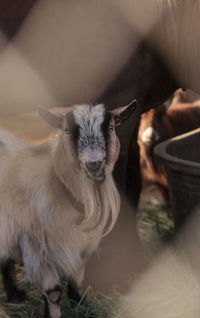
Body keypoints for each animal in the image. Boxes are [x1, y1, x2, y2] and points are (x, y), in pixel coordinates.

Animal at [0, 100, 137, 318]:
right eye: (66, 130)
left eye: (111, 128)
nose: (93, 164)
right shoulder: (36, 247)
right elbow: (53, 291)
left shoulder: (83, 244)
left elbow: (77, 279)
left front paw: (81, 304)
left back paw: (15, 294)